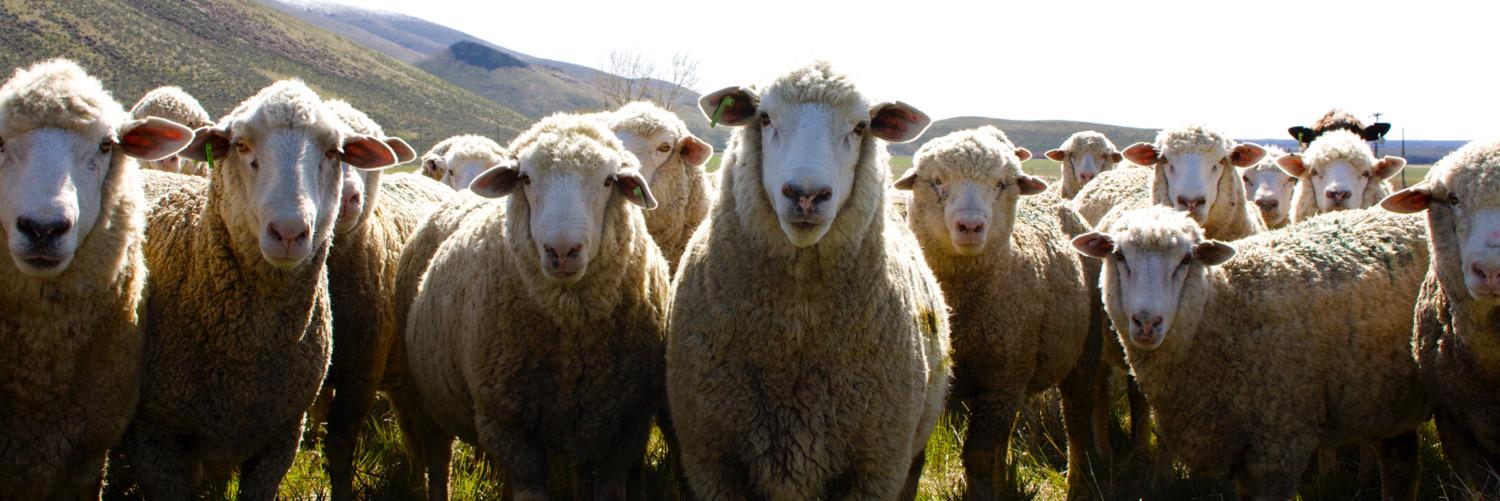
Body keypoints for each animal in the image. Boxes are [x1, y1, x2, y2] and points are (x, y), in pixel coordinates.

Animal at [396, 114, 671, 500]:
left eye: (608, 180)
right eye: (525, 178)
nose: (562, 251)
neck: (571, 333)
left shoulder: (628, 424)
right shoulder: (508, 425)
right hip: (425, 394)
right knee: (438, 457)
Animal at [667, 62, 950, 500]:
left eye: (860, 127)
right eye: (765, 118)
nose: (806, 194)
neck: (795, 333)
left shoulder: (877, 467)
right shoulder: (711, 459)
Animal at [893, 126, 1101, 498]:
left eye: (1001, 184)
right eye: (937, 181)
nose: (970, 226)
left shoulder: (1000, 379)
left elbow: (979, 456)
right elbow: (915, 460)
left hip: (1083, 347)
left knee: (1076, 413)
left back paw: (1077, 482)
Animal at [1072, 206, 1429, 499]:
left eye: (1186, 260)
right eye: (1119, 256)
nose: (1147, 322)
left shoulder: (1278, 443)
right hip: (1390, 399)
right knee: (1401, 463)